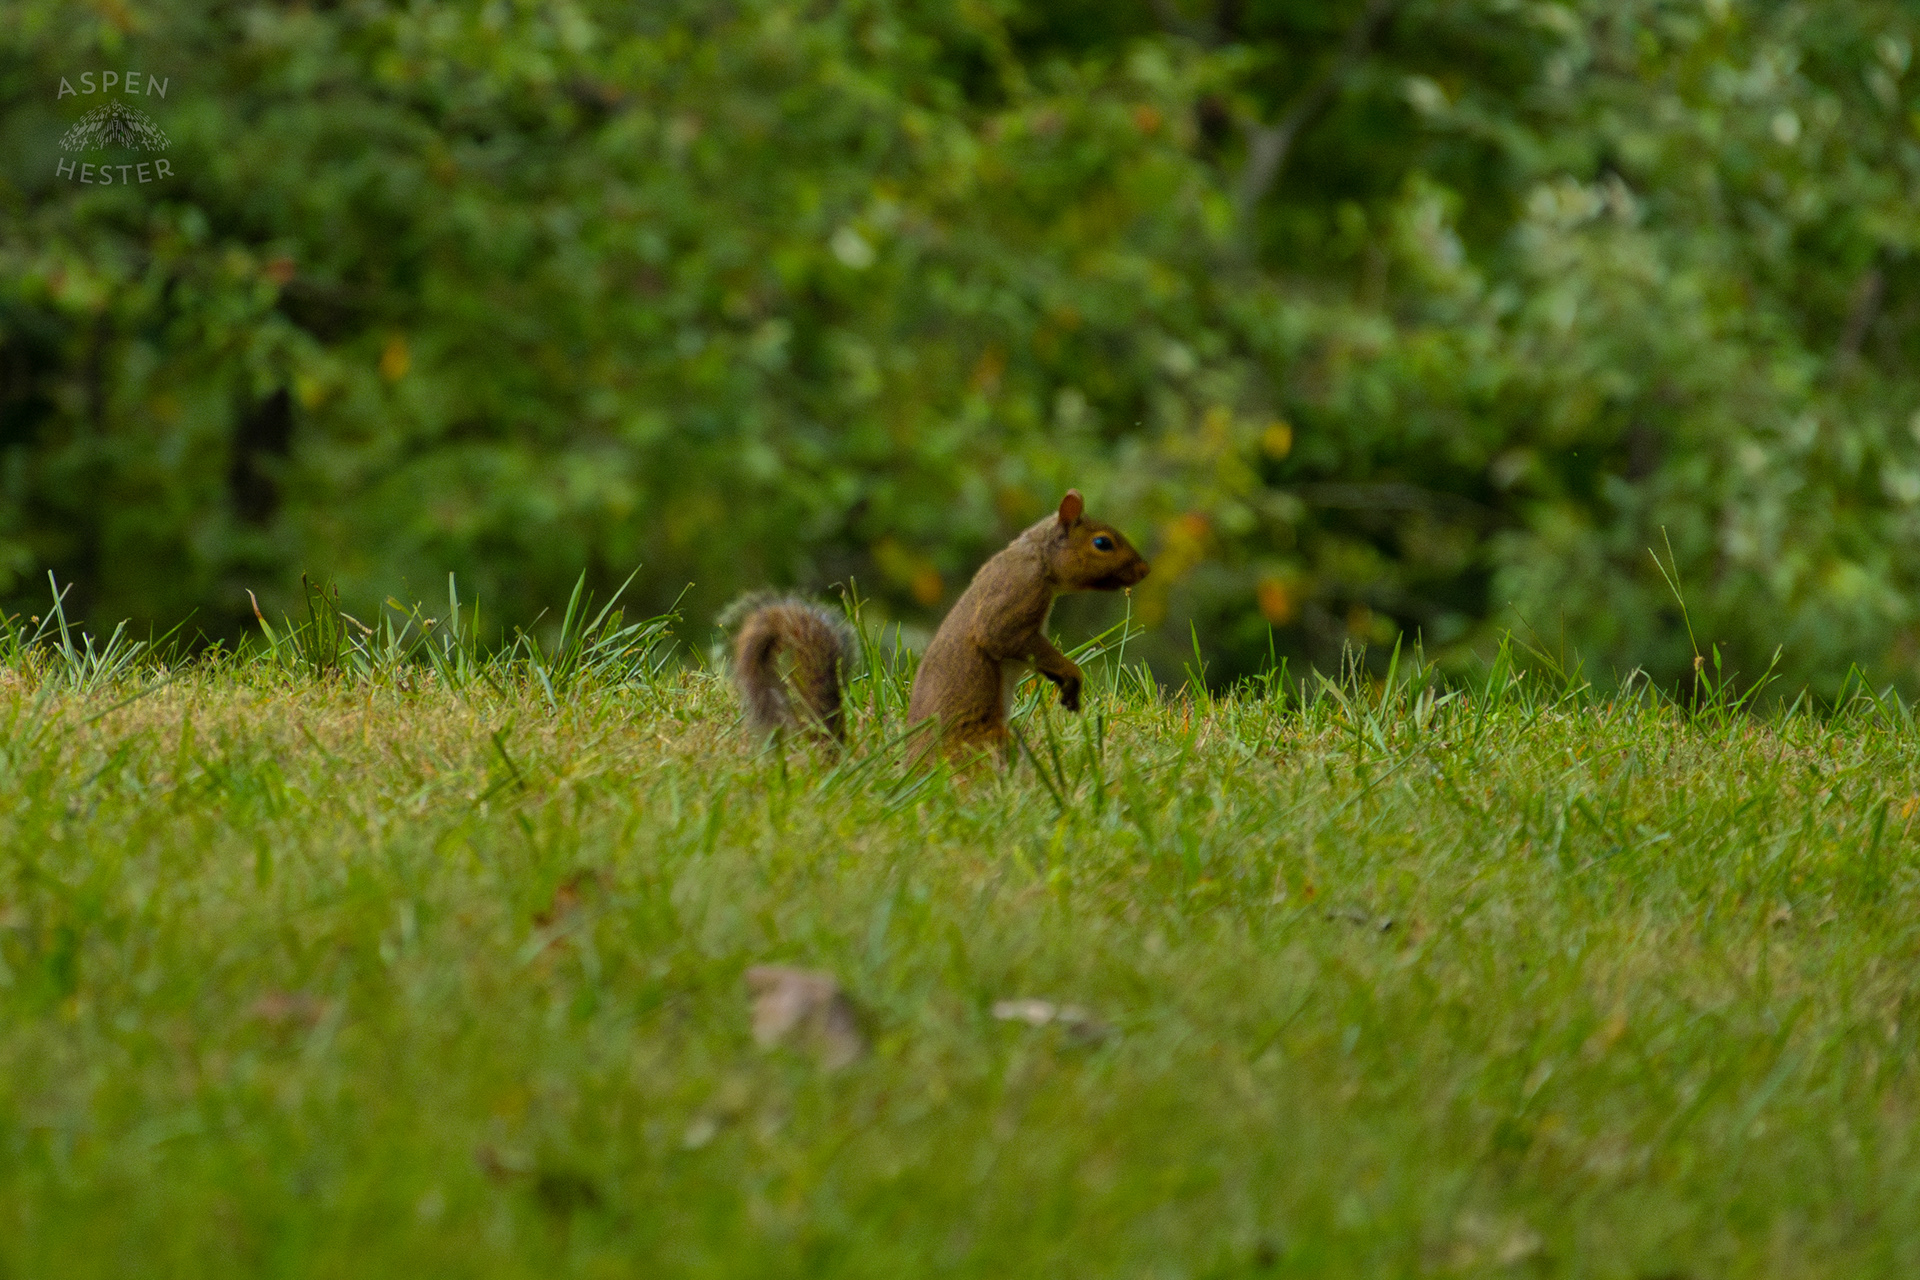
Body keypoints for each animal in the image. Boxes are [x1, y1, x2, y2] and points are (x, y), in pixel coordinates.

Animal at [727, 490, 1150, 754]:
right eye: (1102, 543)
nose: (1144, 570)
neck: (1037, 557)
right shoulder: (1016, 595)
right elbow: (1001, 636)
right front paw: (1071, 675)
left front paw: (1066, 687)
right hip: (984, 741)